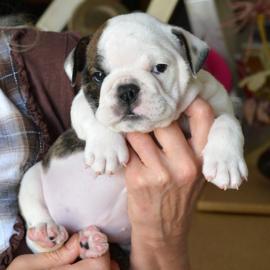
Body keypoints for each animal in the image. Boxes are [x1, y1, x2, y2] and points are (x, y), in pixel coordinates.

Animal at [17, 12, 248, 258]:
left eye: (160, 68)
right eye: (98, 76)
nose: (126, 90)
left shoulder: (218, 103)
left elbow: (227, 121)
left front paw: (226, 162)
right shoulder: (80, 104)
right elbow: (97, 119)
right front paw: (105, 150)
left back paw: (91, 242)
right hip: (32, 177)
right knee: (39, 235)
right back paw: (45, 232)